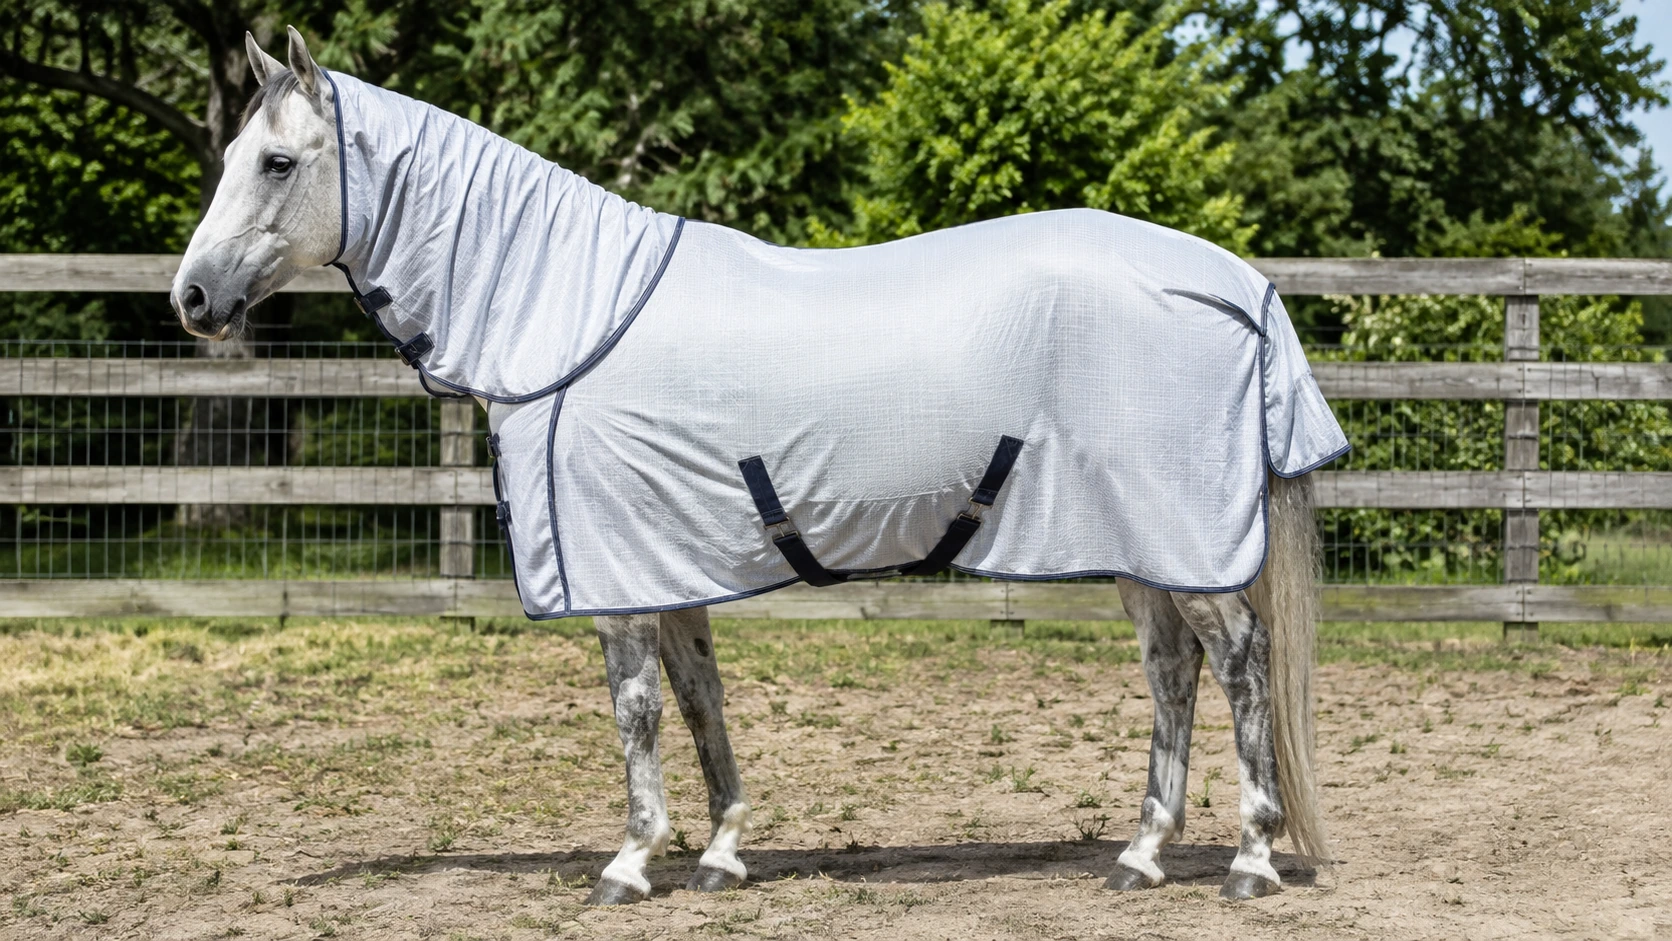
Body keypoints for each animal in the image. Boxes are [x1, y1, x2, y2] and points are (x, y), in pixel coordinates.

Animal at [172, 27, 1347, 904]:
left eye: (278, 162)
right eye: (231, 160)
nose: (191, 298)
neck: (571, 308)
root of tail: (1233, 281)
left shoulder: (618, 571)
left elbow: (636, 708)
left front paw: (631, 861)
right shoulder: (668, 557)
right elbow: (701, 698)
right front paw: (724, 850)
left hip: (1182, 538)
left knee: (1240, 666)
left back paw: (1248, 859)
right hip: (1143, 545)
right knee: (1172, 672)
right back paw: (1141, 855)